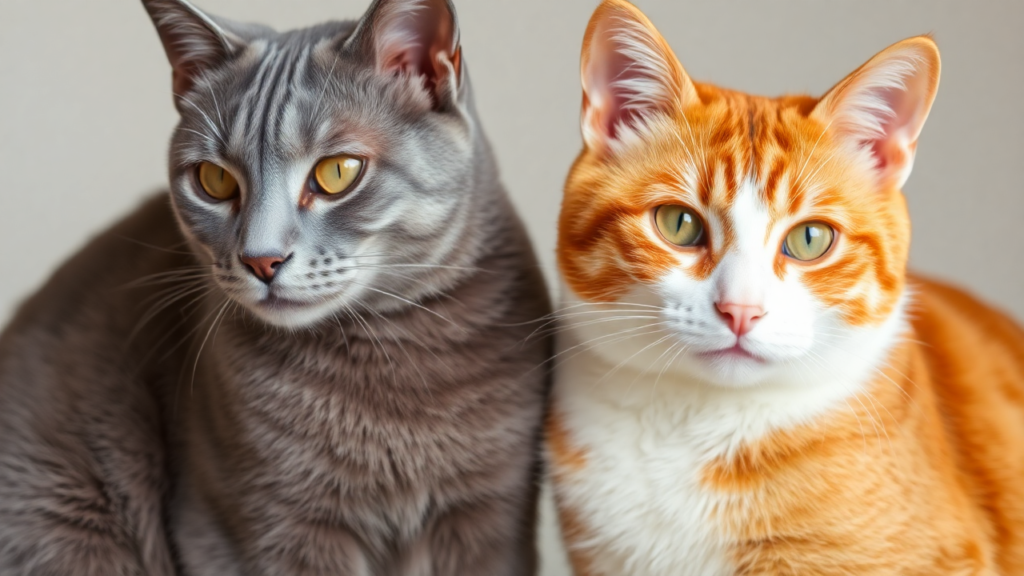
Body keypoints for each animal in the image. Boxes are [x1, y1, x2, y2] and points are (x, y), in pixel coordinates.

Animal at [0, 0, 552, 569]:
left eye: (338, 172)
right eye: (214, 180)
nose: (261, 259)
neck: (388, 366)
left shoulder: (490, 519)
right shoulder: (262, 528)